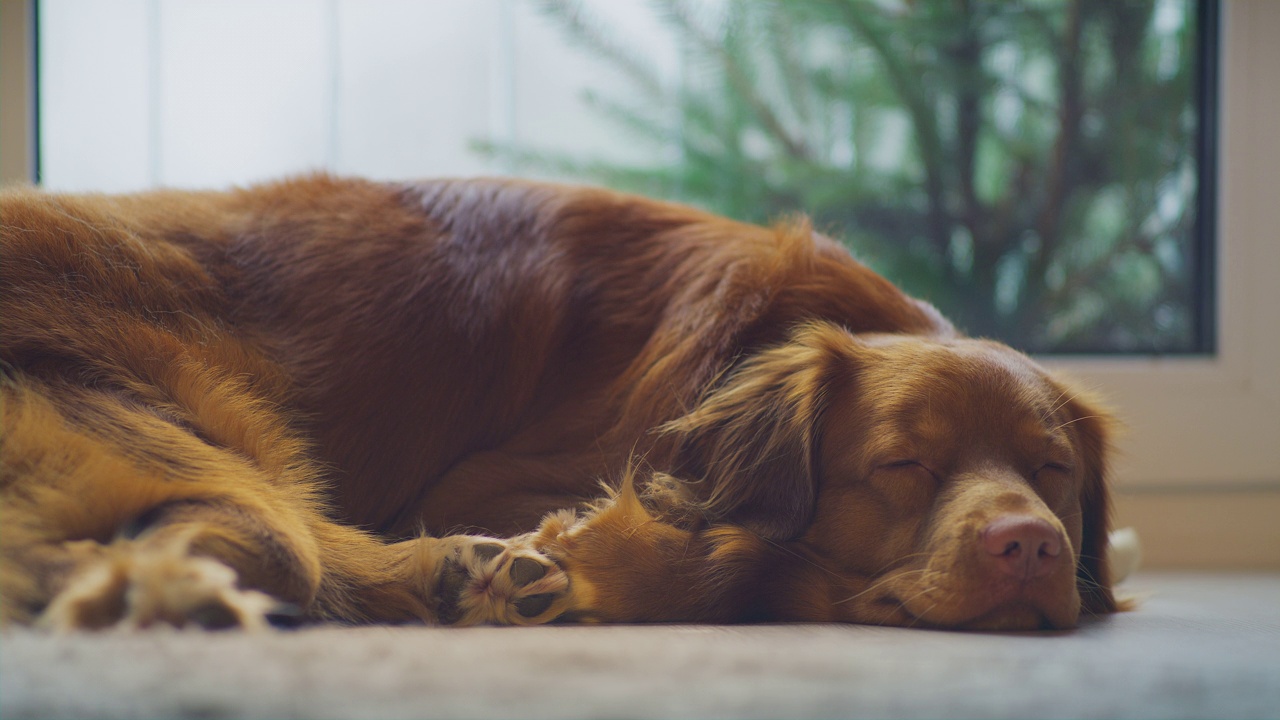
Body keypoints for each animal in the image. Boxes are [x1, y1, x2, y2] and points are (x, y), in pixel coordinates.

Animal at [0, 174, 1116, 627]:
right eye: (903, 465)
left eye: (1053, 471)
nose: (1028, 545)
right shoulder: (499, 481)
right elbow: (729, 558)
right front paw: (610, 563)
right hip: (193, 412)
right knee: (275, 541)